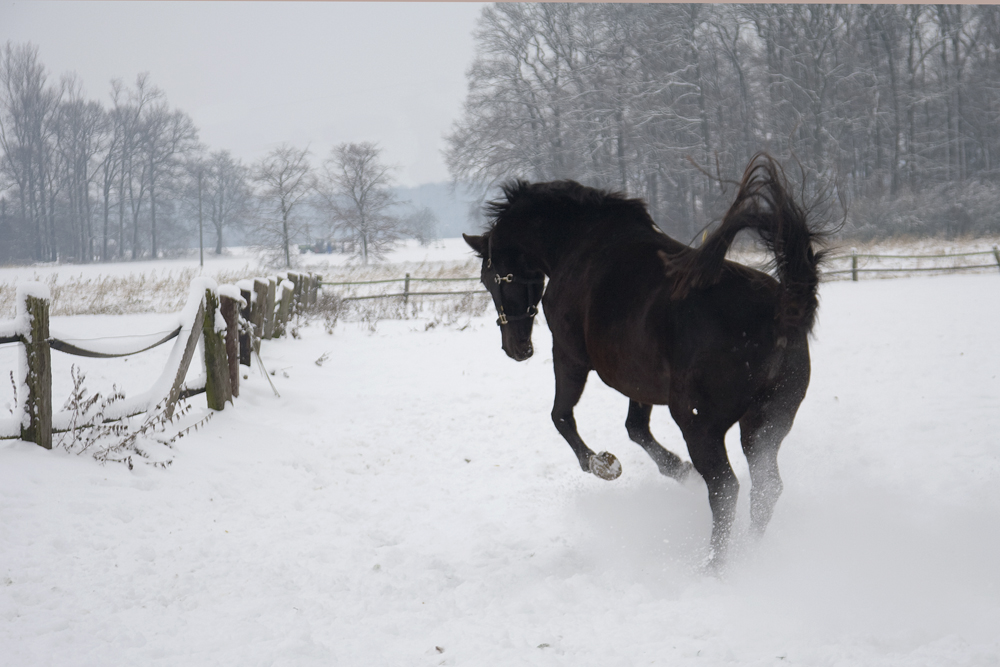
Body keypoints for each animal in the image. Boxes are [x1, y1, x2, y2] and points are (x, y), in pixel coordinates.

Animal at [464, 155, 824, 564]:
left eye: (492, 278)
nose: (515, 348)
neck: (578, 245)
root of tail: (780, 309)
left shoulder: (569, 355)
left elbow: (561, 416)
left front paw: (603, 464)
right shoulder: (639, 380)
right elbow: (636, 428)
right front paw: (679, 471)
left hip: (699, 424)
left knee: (725, 489)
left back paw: (713, 566)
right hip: (765, 423)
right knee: (766, 488)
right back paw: (752, 553)